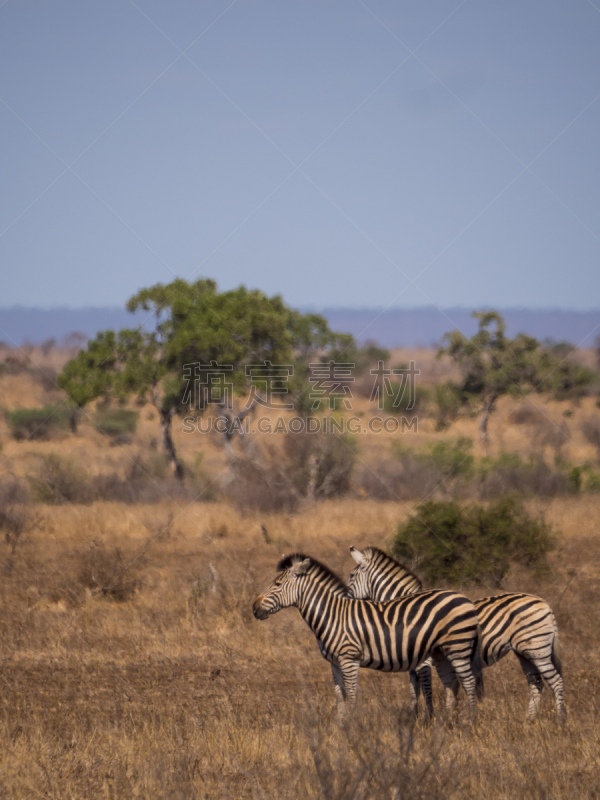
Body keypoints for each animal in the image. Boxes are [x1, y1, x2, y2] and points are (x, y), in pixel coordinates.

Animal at [251, 552, 480, 716]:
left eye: (277, 584)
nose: (254, 607)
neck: (332, 615)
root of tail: (464, 597)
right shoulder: (334, 662)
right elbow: (339, 694)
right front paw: (341, 726)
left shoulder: (349, 659)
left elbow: (352, 694)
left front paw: (354, 727)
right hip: (442, 652)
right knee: (452, 683)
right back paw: (447, 723)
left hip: (457, 648)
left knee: (469, 682)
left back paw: (471, 721)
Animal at [350, 548, 564, 720]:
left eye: (351, 576)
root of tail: (544, 603)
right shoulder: (412, 662)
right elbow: (413, 691)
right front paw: (415, 718)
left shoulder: (423, 661)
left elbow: (426, 688)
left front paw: (429, 718)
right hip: (524, 652)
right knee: (536, 683)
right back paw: (529, 720)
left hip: (537, 648)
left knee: (554, 681)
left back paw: (561, 720)